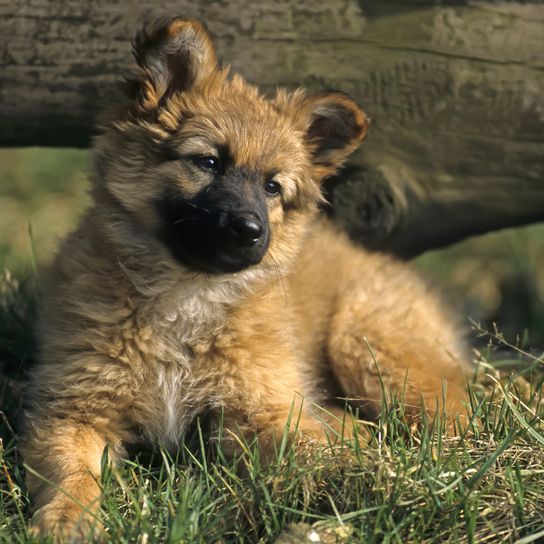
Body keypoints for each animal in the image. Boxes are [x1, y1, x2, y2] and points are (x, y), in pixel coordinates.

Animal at [22, 18, 468, 540]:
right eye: (208, 162)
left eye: (273, 187)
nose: (250, 231)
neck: (185, 294)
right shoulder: (74, 407)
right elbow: (70, 471)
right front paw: (68, 518)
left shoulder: (267, 409)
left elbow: (313, 453)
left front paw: (363, 486)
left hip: (366, 345)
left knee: (456, 410)